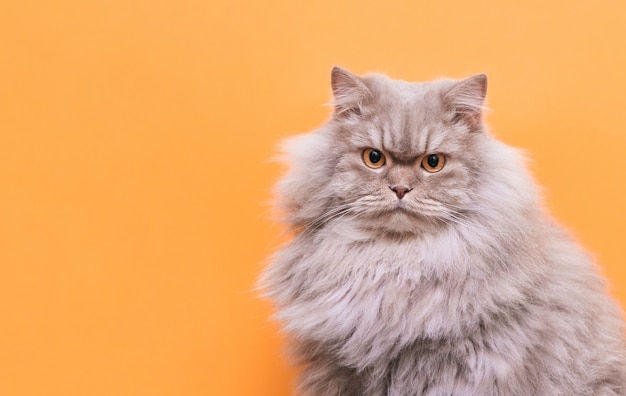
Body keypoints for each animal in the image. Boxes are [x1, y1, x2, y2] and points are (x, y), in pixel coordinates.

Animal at [258, 66, 624, 394]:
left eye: (433, 163)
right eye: (374, 158)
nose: (400, 189)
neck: (395, 266)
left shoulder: (460, 369)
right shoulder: (338, 371)